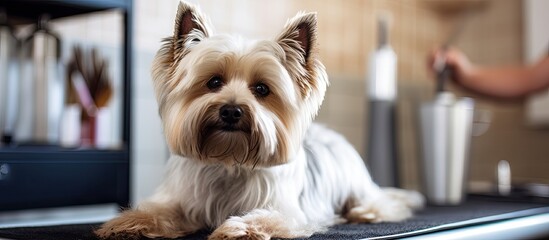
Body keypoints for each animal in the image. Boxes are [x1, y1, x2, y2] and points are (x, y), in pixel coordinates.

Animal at [95, 1, 420, 238]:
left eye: (262, 89)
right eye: (214, 82)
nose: (231, 110)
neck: (228, 161)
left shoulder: (287, 212)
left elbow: (265, 218)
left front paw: (238, 228)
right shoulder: (183, 199)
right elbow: (163, 211)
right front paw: (130, 222)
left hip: (358, 185)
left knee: (383, 201)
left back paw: (365, 212)